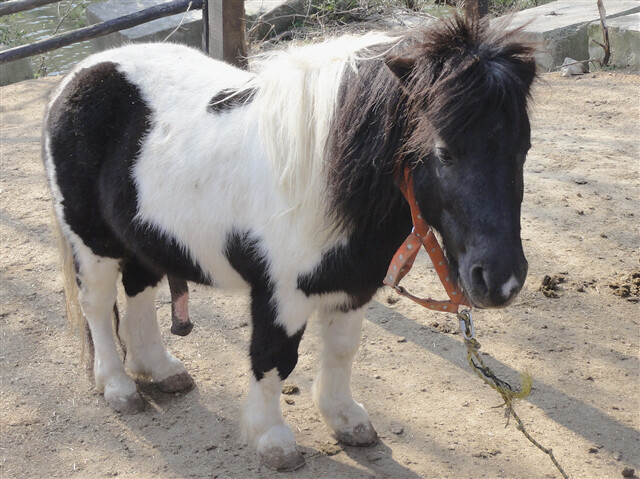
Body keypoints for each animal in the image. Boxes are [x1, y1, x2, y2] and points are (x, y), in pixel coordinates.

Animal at [43, 15, 536, 472]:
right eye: (444, 153)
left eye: (523, 149)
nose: (500, 281)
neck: (326, 177)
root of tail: (76, 75)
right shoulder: (280, 294)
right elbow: (273, 358)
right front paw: (273, 441)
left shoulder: (351, 285)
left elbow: (342, 350)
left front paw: (345, 419)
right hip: (92, 244)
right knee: (97, 308)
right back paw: (118, 387)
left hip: (143, 238)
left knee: (139, 291)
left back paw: (161, 370)